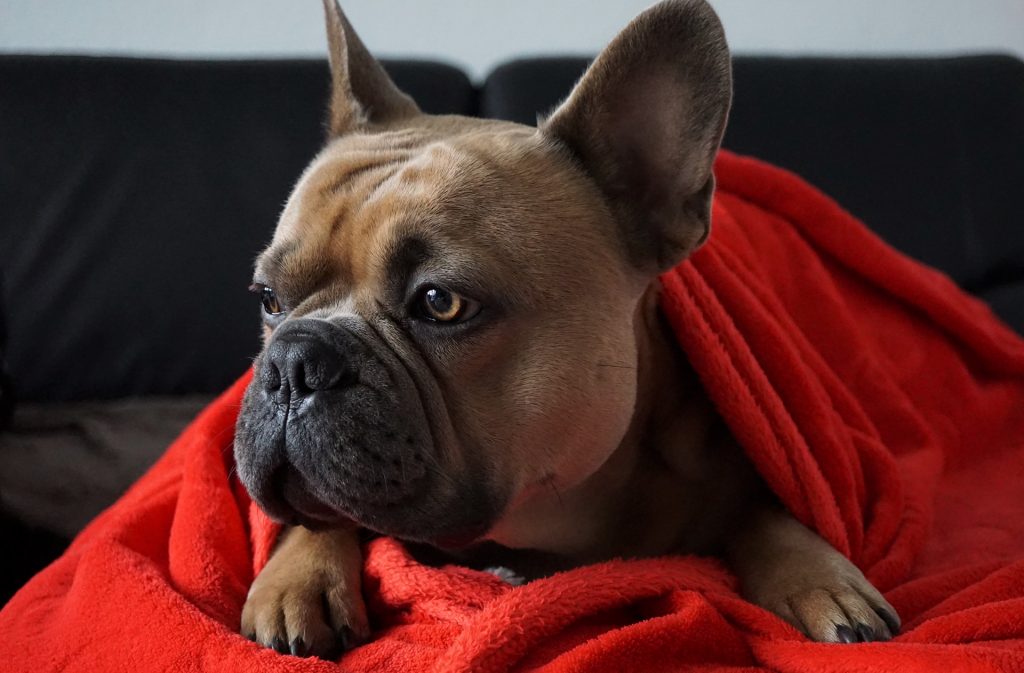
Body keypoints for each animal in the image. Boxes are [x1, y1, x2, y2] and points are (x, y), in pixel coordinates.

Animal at [232, 0, 897, 655]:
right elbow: (316, 519)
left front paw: (819, 578)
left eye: (441, 303)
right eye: (268, 298)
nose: (293, 362)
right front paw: (300, 578)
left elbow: (764, 511)